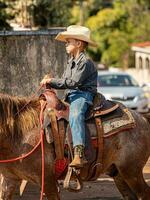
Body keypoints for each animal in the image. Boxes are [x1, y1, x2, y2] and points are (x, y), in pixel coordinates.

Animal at [0, 92, 150, 200]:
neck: (21, 134)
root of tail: (142, 118)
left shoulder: (48, 182)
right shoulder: (9, 179)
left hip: (131, 171)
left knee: (144, 194)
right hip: (119, 174)